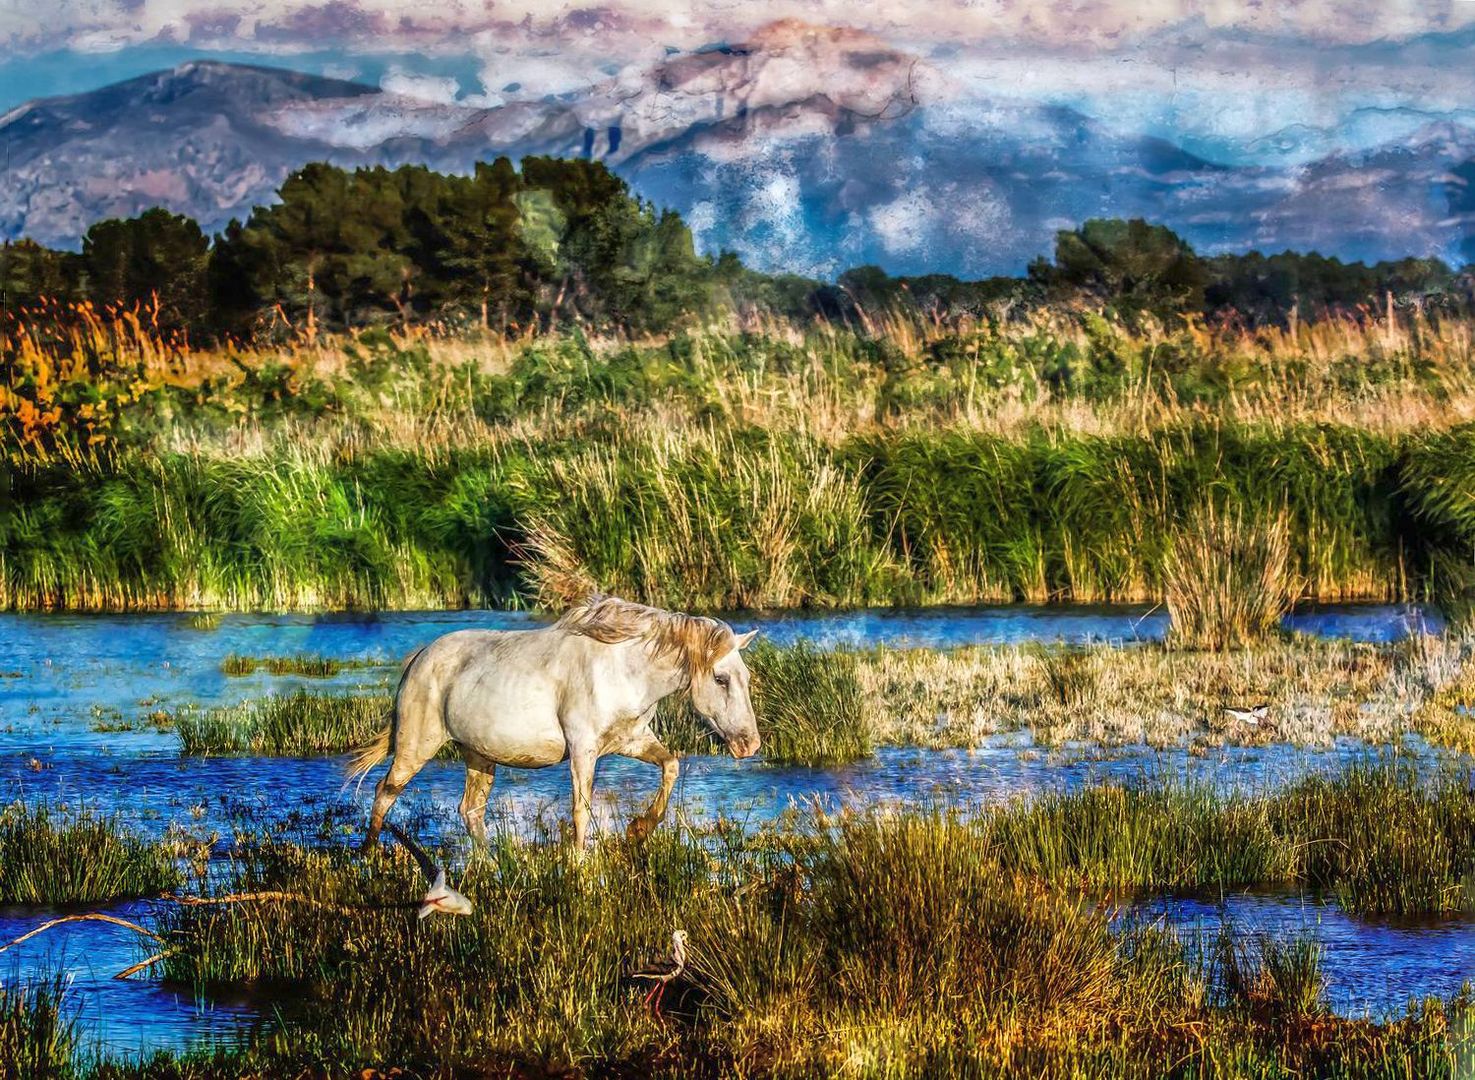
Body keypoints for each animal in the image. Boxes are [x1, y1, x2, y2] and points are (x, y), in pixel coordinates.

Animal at [348, 596, 761, 849]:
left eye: (746, 677)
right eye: (721, 679)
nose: (750, 744)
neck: (622, 670)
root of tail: (419, 658)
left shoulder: (632, 740)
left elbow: (671, 765)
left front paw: (639, 830)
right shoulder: (582, 750)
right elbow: (581, 810)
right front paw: (579, 869)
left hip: (478, 755)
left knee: (471, 810)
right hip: (416, 746)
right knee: (384, 792)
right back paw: (369, 856)